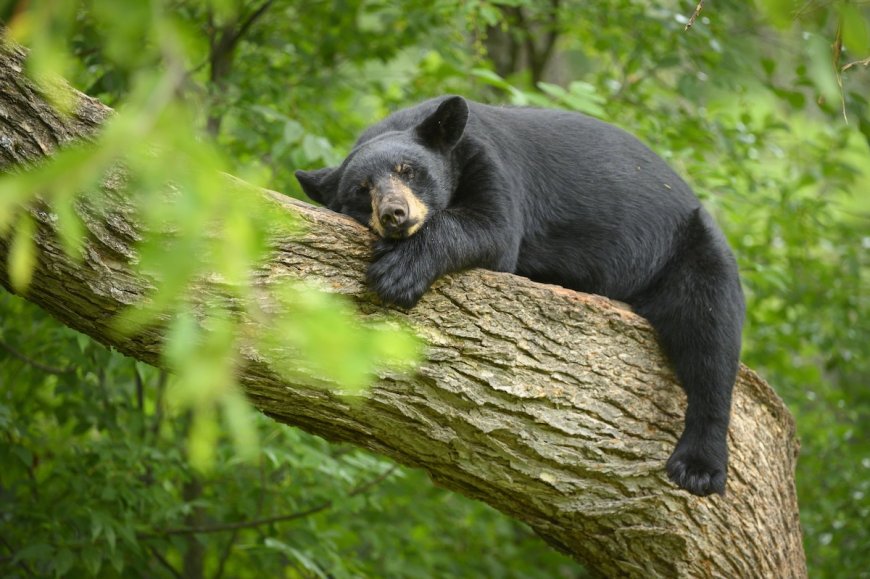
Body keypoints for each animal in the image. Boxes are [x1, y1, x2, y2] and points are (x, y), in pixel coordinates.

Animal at [296, 95, 745, 497]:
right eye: (361, 188)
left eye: (408, 170)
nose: (394, 214)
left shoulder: (491, 163)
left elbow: (493, 228)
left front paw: (398, 272)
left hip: (688, 249)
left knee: (710, 333)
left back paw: (698, 466)